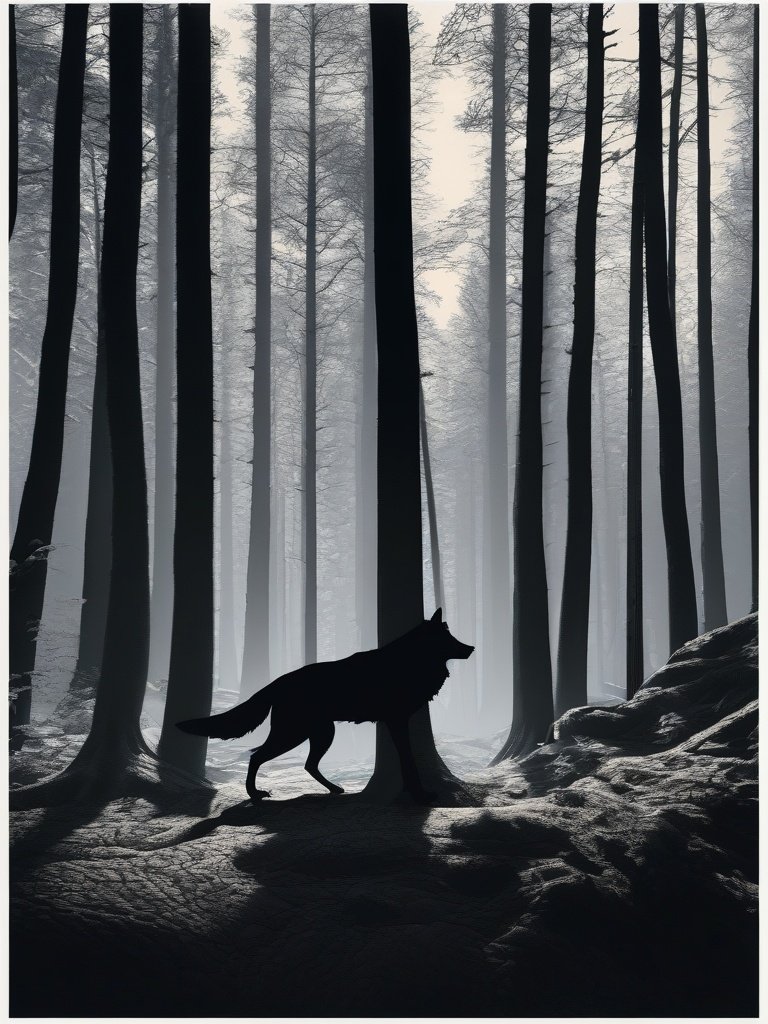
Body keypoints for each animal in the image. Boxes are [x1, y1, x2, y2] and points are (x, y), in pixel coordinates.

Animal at [177, 608, 474, 804]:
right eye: (448, 638)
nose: (471, 648)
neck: (410, 661)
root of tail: (278, 682)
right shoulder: (397, 721)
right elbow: (408, 760)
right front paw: (420, 794)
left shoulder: (395, 723)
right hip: (293, 734)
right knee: (257, 756)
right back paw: (255, 794)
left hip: (321, 733)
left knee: (308, 764)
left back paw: (333, 789)